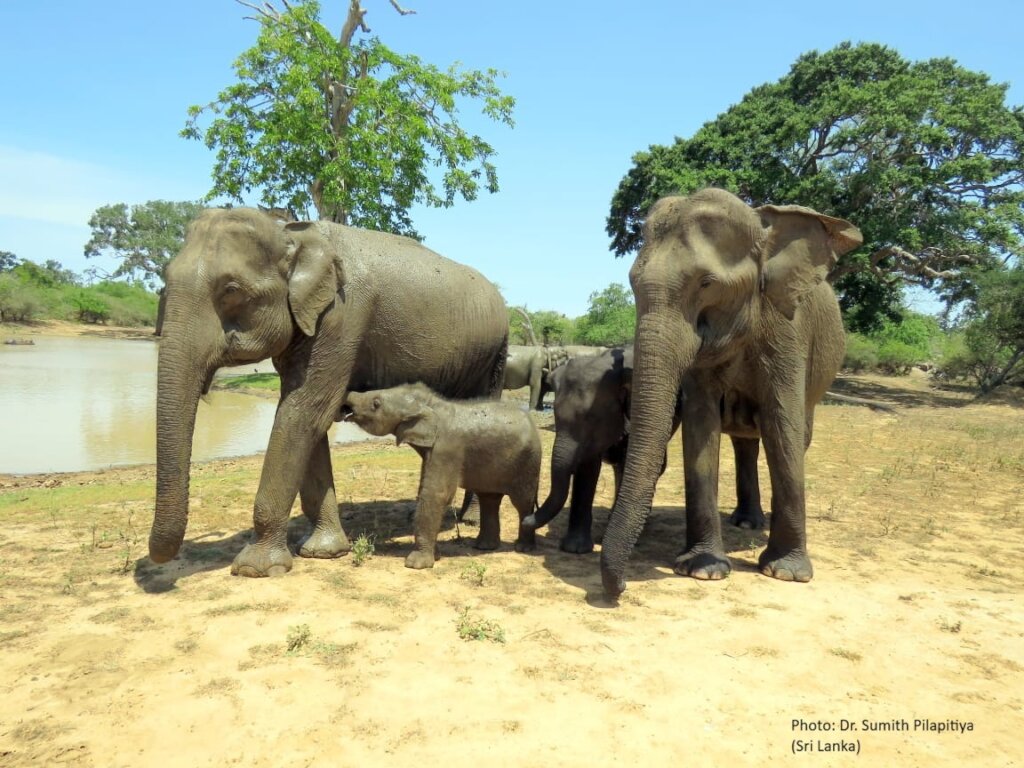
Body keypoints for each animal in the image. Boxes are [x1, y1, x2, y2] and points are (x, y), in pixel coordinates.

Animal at [150, 207, 508, 577]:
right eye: (165, 279)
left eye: (231, 290)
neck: (291, 235)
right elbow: (308, 419)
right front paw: (324, 551)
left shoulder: (342, 317)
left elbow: (303, 411)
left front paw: (255, 568)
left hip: (494, 355)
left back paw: (469, 522)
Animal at [343, 382, 541, 568]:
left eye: (376, 403)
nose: (347, 399)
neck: (431, 405)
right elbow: (425, 490)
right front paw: (435, 556)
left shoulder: (447, 448)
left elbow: (436, 494)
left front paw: (416, 564)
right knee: (489, 499)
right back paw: (484, 546)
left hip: (528, 462)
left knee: (522, 502)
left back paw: (522, 548)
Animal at [600, 188, 862, 600]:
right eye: (632, 282)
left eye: (706, 284)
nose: (623, 586)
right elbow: (700, 425)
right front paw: (703, 570)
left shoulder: (788, 331)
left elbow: (782, 426)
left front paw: (786, 573)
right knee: (745, 442)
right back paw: (747, 523)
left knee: (794, 436)